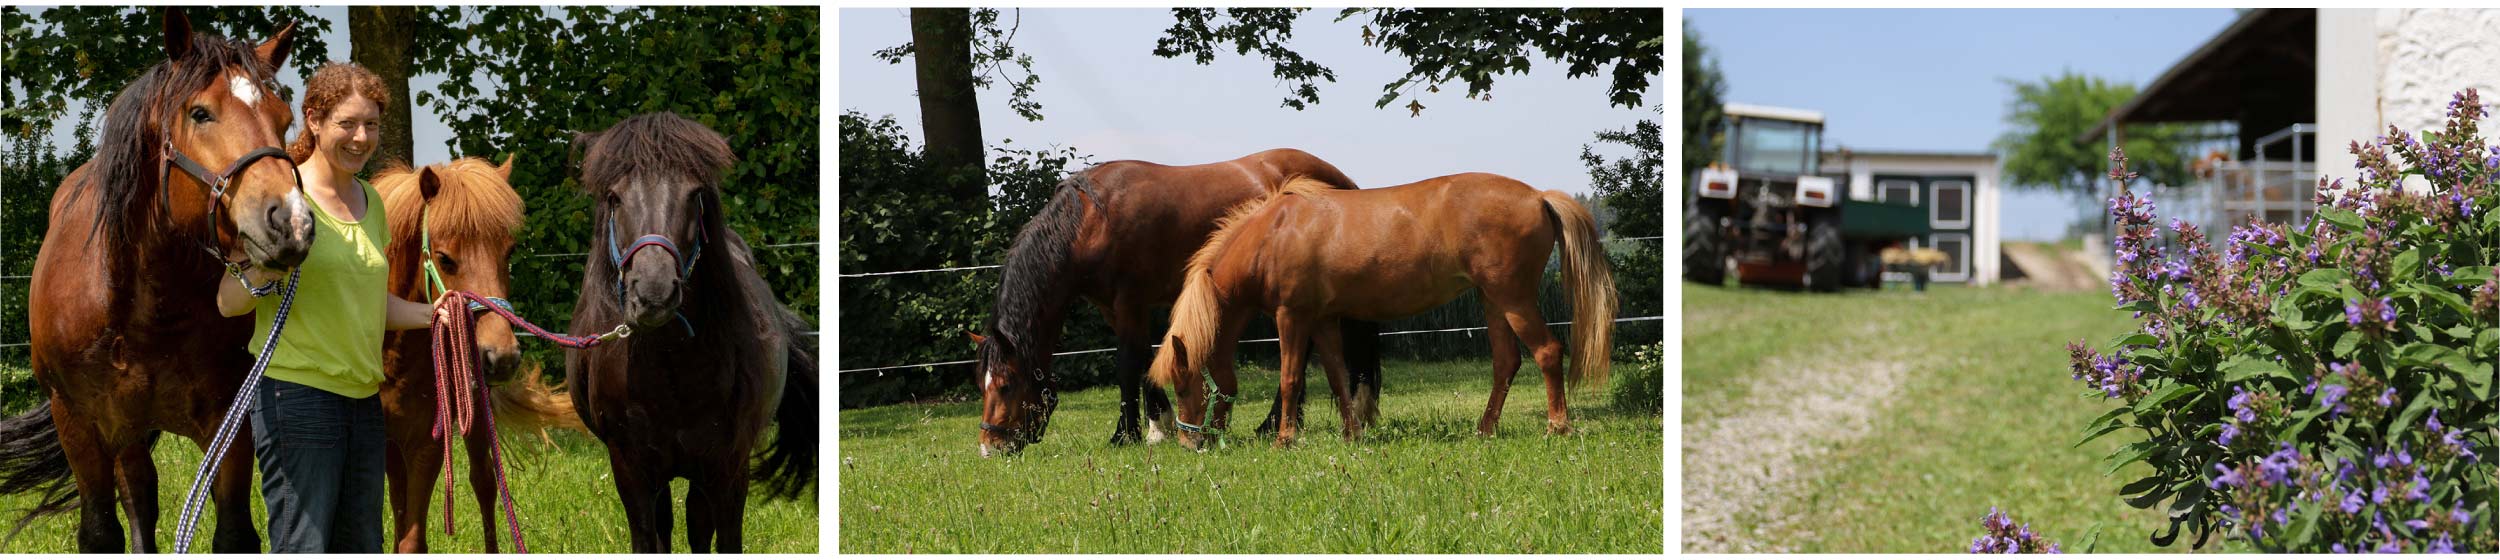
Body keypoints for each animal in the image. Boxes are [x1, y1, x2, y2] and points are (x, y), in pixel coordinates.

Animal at [0, 10, 310, 552]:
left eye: (284, 118)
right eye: (200, 113)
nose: (290, 221)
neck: (142, 308)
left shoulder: (230, 420)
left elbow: (234, 531)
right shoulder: (80, 423)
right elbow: (101, 531)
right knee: (138, 499)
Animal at [365, 157, 580, 550]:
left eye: (509, 252)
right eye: (445, 259)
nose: (501, 357)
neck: (394, 354)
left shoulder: (427, 446)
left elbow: (413, 540)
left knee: (485, 485)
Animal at [562, 111, 815, 552]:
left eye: (694, 194)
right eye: (614, 197)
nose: (654, 293)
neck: (671, 368)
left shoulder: (729, 466)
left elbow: (725, 537)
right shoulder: (631, 469)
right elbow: (648, 537)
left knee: (698, 524)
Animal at [965, 146, 1390, 457]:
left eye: (1005, 385)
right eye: (981, 385)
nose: (990, 446)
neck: (1092, 221)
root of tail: (1342, 179)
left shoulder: (1130, 301)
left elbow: (1129, 363)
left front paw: (1128, 434)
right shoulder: (1113, 307)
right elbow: (1144, 360)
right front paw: (1160, 424)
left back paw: (1279, 424)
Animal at [1150, 172, 1620, 447]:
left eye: (1184, 383)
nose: (1190, 443)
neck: (1273, 234)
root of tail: (1540, 196)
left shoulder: (1291, 316)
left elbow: (1290, 379)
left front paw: (1285, 439)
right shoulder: (1322, 319)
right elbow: (1338, 378)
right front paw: (1351, 433)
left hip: (1513, 299)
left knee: (1547, 352)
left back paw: (1557, 426)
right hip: (1492, 301)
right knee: (1506, 362)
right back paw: (1484, 430)